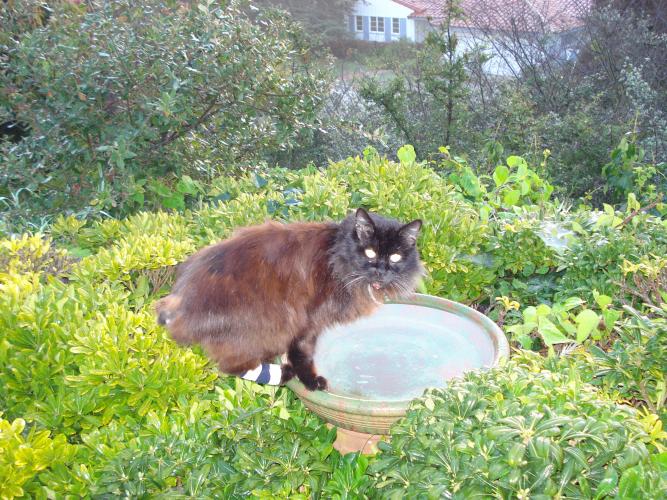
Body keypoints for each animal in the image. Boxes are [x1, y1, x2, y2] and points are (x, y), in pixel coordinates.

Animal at [157, 207, 422, 390]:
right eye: (370, 252)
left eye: (395, 257)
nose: (381, 271)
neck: (336, 254)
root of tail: (181, 302)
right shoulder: (308, 322)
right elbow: (302, 354)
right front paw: (311, 381)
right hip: (267, 325)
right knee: (233, 366)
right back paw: (283, 373)